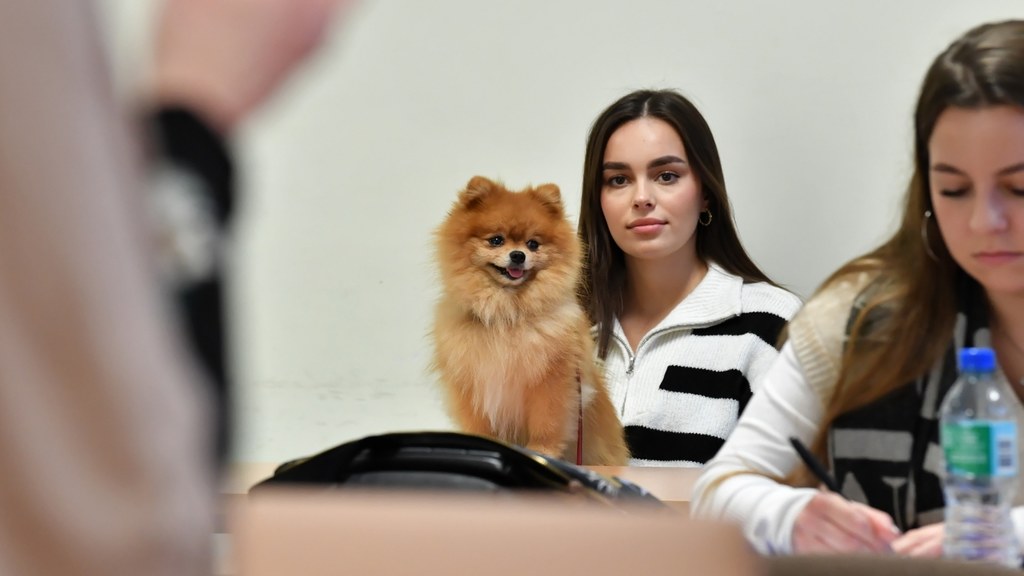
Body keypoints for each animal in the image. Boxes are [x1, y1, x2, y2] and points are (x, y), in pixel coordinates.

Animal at [430, 174, 626, 461]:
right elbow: (479, 425)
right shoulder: (472, 382)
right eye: (496, 240)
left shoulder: (551, 380)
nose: (518, 255)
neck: (507, 315)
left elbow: (547, 421)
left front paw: (542, 450)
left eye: (533, 244)